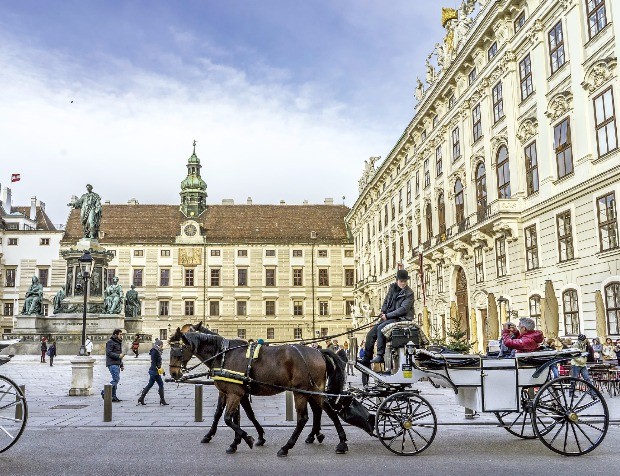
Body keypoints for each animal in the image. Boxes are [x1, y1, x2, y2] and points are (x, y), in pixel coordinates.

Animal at [170, 330, 348, 456]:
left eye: (179, 350)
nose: (173, 373)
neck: (224, 355)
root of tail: (318, 352)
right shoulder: (232, 393)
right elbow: (232, 415)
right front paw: (237, 441)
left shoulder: (235, 393)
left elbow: (228, 418)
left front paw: (247, 439)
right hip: (312, 391)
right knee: (325, 410)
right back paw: (334, 440)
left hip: (302, 392)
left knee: (304, 418)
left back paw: (287, 447)